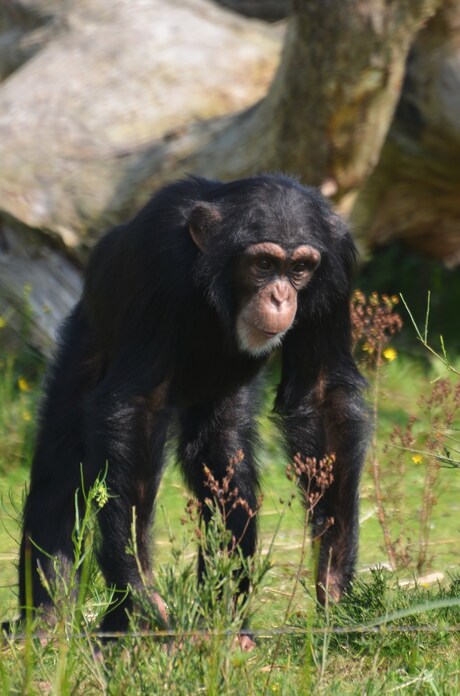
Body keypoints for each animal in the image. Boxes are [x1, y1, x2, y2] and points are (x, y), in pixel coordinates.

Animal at [18, 173, 368, 632]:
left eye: (300, 269)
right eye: (263, 264)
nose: (279, 297)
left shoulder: (337, 270)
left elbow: (323, 394)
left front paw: (334, 574)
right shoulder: (157, 259)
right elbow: (138, 406)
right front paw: (141, 586)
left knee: (225, 463)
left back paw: (225, 621)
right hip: (88, 335)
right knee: (60, 464)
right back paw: (48, 623)